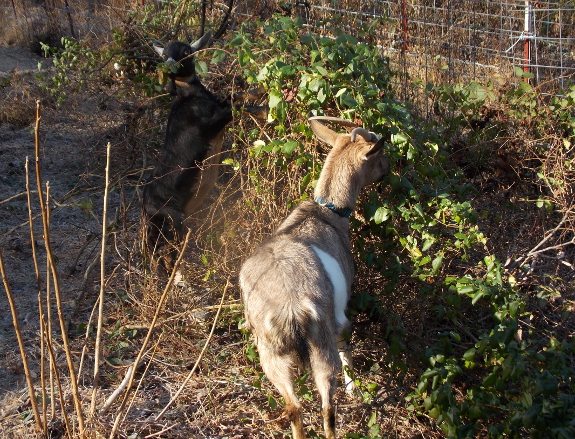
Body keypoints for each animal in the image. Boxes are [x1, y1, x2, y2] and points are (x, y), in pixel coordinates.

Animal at [142, 31, 268, 272]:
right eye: (163, 56)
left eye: (185, 51)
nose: (170, 66)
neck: (190, 97)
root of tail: (147, 207)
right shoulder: (210, 126)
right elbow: (234, 107)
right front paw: (263, 110)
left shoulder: (217, 104)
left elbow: (233, 96)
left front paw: (259, 90)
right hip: (171, 222)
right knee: (165, 250)